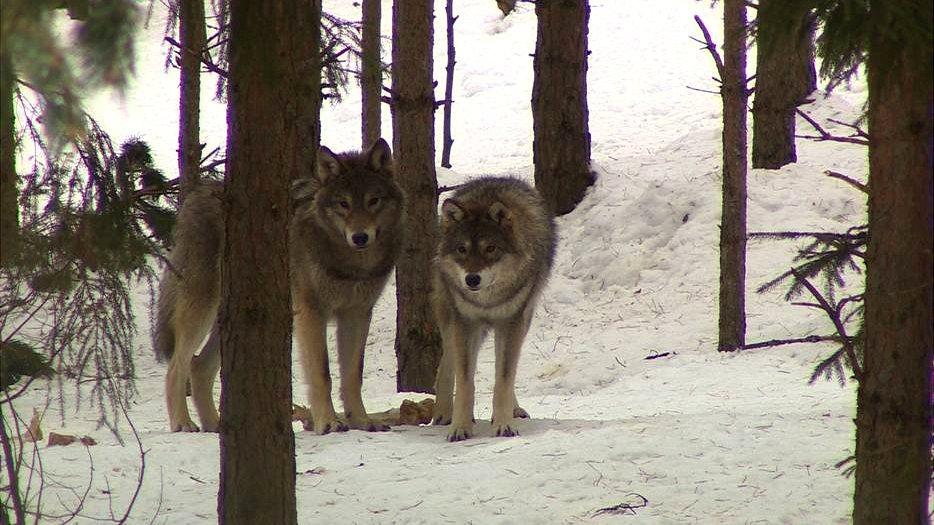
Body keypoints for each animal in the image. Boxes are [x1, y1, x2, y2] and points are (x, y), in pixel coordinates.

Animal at [154, 137, 402, 432]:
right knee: (176, 367)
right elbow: (322, 373)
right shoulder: (311, 313)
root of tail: (195, 195)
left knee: (199, 367)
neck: (352, 264)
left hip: (233, 318)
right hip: (201, 312)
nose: (360, 237)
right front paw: (328, 423)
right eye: (343, 204)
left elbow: (353, 375)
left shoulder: (357, 314)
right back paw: (183, 423)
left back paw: (216, 425)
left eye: (373, 201)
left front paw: (362, 421)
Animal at [432, 178, 556, 440]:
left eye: (490, 249)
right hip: (451, 320)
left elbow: (504, 379)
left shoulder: (511, 323)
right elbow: (465, 381)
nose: (472, 279)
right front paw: (459, 427)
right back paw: (444, 413)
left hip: (521, 321)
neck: (487, 301)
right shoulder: (465, 323)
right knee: (447, 363)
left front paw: (504, 424)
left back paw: (514, 409)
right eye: (462, 249)